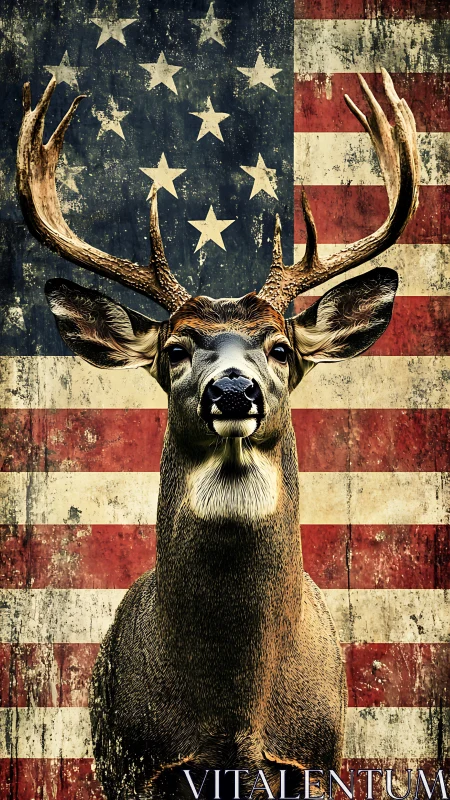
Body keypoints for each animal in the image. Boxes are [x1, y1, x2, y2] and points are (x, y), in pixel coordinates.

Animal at [16, 69, 419, 800]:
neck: (234, 720)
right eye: (174, 349)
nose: (233, 390)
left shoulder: (315, 758)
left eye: (281, 347)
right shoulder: (137, 763)